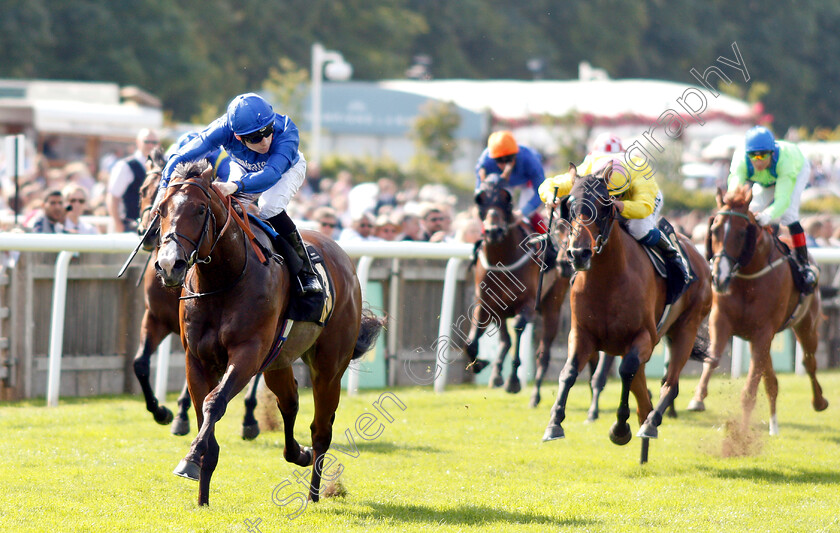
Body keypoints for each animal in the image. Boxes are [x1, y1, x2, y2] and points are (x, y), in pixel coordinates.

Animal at [131, 148, 260, 438]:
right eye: (143, 190)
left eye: (200, 210)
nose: (148, 233)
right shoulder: (156, 318)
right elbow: (140, 363)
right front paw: (162, 412)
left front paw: (179, 413)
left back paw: (249, 418)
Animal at [153, 161, 382, 502]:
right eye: (161, 209)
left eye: (200, 209)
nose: (170, 265)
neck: (223, 280)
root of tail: (341, 256)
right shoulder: (196, 359)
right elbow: (203, 411)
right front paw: (201, 492)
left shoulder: (247, 353)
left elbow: (214, 402)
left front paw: (190, 459)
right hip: (278, 361)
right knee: (290, 402)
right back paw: (298, 453)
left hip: (329, 365)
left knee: (321, 428)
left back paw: (314, 495)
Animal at [540, 163, 712, 462]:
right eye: (570, 206)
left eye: (604, 205)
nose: (578, 254)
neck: (607, 280)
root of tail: (697, 253)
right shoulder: (582, 334)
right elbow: (569, 371)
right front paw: (554, 423)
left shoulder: (644, 338)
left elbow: (626, 371)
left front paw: (620, 428)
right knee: (643, 392)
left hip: (686, 328)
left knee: (670, 384)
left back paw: (651, 423)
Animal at [684, 185, 832, 434]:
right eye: (714, 230)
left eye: (742, 232)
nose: (719, 276)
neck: (748, 277)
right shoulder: (721, 320)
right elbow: (713, 358)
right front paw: (697, 399)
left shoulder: (763, 331)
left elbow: (750, 386)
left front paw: (741, 431)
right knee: (771, 379)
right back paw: (773, 425)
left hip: (806, 325)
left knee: (809, 362)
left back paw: (819, 402)